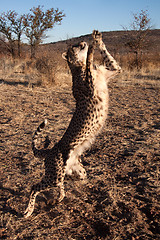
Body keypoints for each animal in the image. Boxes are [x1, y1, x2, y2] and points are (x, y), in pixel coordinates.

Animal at [23, 30, 121, 218]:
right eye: (74, 46)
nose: (82, 42)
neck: (78, 66)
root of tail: (50, 150)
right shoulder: (90, 87)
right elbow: (90, 62)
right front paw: (92, 46)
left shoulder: (114, 70)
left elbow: (110, 60)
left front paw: (98, 39)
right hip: (53, 175)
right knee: (34, 187)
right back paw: (28, 210)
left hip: (75, 173)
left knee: (62, 183)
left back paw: (59, 198)